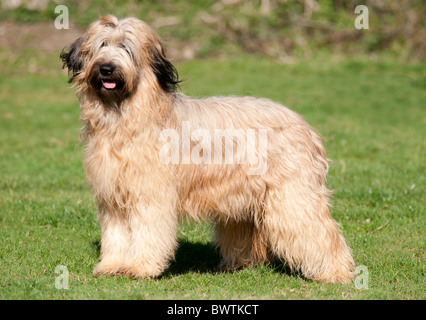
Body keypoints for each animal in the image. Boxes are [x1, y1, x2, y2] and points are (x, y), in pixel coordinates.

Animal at [61, 15, 356, 284]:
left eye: (126, 48)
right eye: (101, 45)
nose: (107, 68)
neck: (126, 116)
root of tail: (305, 126)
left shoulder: (150, 195)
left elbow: (148, 231)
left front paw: (140, 267)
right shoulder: (113, 197)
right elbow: (116, 235)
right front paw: (112, 266)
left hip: (293, 195)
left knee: (320, 231)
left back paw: (336, 273)